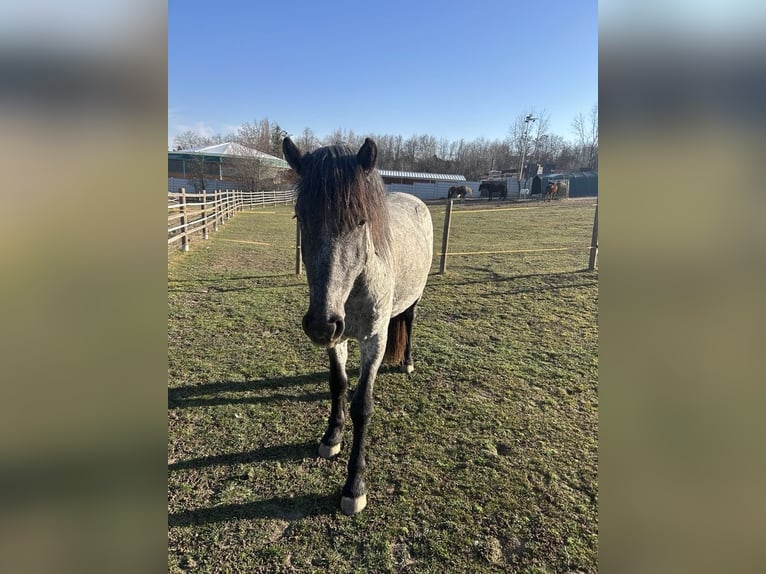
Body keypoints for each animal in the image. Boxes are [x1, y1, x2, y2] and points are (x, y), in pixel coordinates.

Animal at [284, 136, 436, 516]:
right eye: (300, 217)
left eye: (360, 221)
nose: (319, 324)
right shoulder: (338, 338)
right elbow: (338, 385)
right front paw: (331, 437)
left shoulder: (373, 341)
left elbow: (362, 406)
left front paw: (354, 487)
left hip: (414, 298)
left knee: (409, 321)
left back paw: (408, 362)